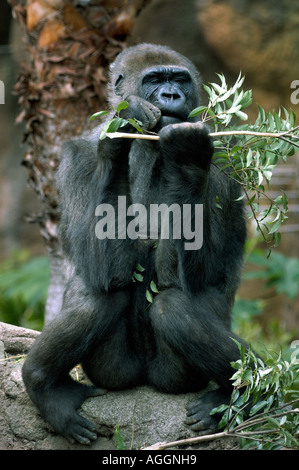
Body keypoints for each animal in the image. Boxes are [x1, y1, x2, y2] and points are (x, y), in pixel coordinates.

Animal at [22, 44, 248, 444]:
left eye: (179, 80)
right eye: (155, 80)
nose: (171, 95)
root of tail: (145, 382)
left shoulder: (224, 154)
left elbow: (198, 273)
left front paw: (188, 160)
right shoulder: (78, 153)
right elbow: (101, 267)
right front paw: (119, 140)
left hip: (175, 380)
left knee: (174, 305)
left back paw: (238, 392)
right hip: (113, 375)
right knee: (100, 293)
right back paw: (42, 383)